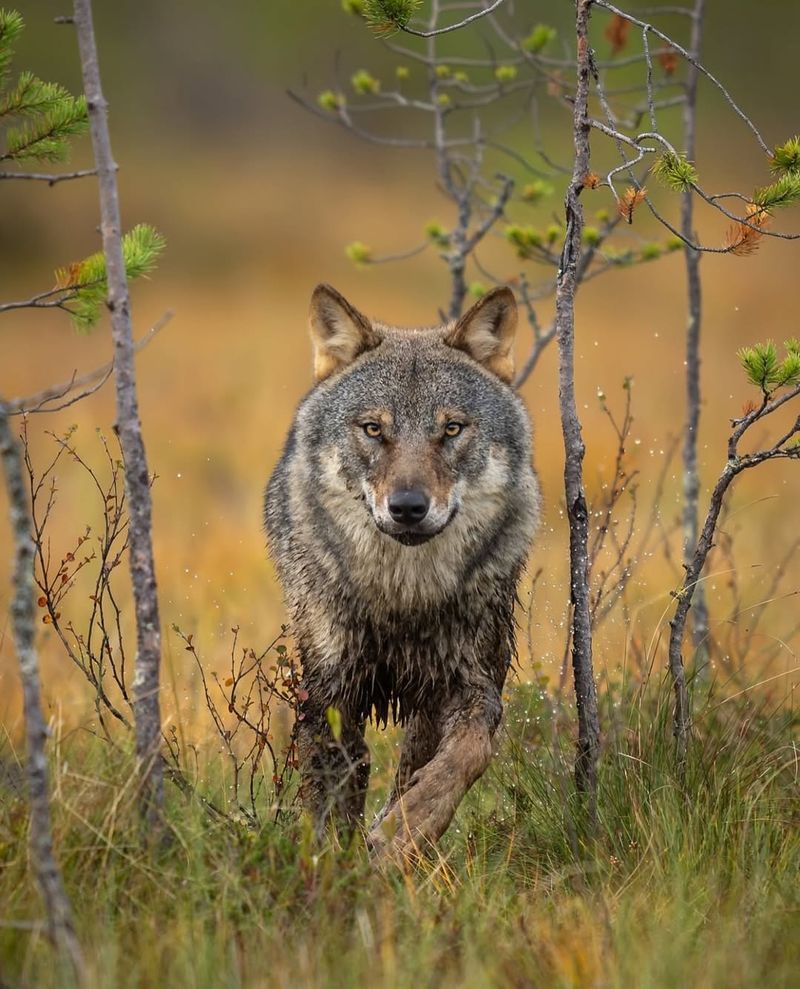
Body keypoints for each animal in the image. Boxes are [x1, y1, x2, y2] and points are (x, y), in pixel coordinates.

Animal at [266, 280, 540, 856]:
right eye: (374, 430)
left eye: (452, 429)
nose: (408, 507)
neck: (404, 597)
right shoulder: (331, 688)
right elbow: (334, 786)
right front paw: (334, 860)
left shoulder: (470, 683)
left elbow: (467, 757)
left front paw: (404, 833)